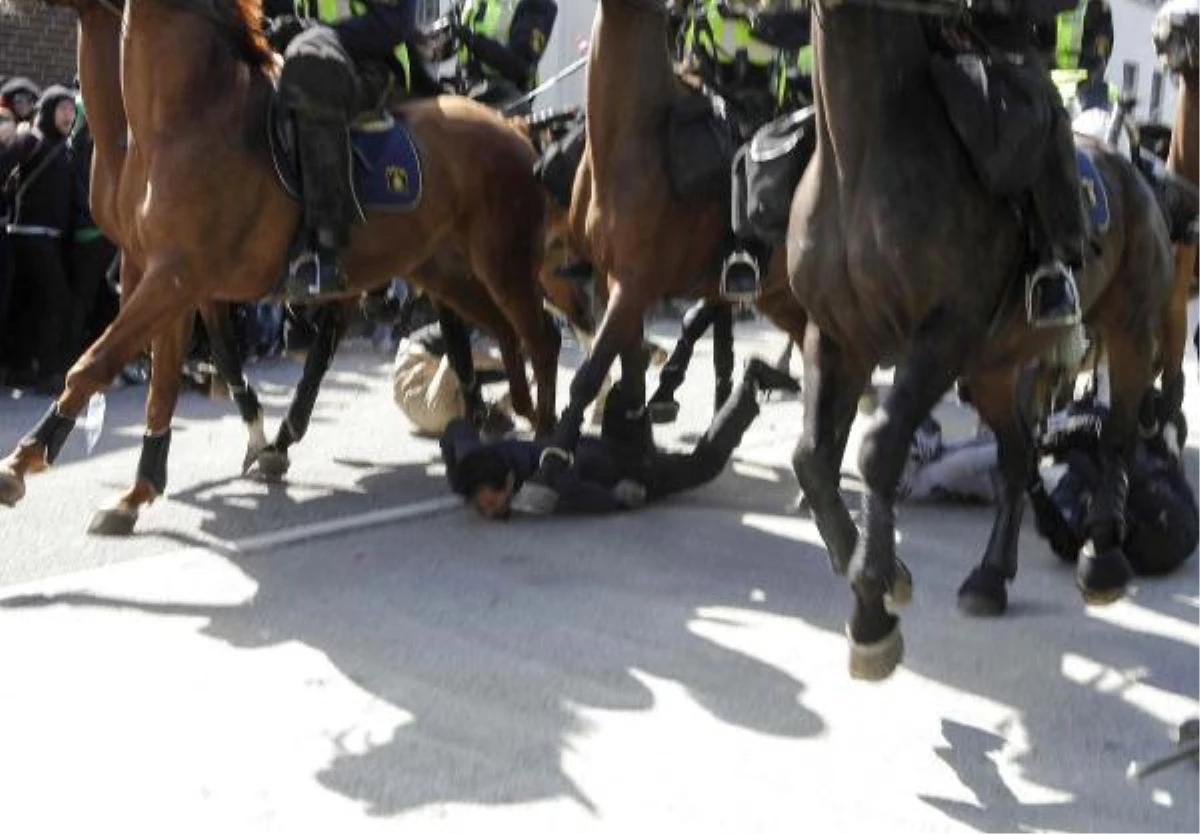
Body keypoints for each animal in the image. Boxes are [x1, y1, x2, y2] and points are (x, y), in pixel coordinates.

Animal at [0, 0, 559, 532]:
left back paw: (545, 447)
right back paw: (510, 413)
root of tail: (512, 126)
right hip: (447, 271)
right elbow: (163, 383)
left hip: (502, 261)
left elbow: (95, 363)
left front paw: (24, 462)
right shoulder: (162, 277)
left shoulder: (175, 276)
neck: (185, 116)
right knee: (500, 332)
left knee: (539, 336)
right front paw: (137, 492)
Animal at [511, 0, 811, 516]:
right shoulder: (610, 281)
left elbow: (591, 372)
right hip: (779, 297)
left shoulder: (635, 284)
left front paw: (548, 470)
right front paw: (636, 464)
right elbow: (629, 374)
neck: (632, 136)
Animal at [787, 0, 1171, 681]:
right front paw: (878, 571)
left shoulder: (941, 334)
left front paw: (873, 609)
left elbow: (877, 450)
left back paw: (1101, 557)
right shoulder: (835, 337)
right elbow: (812, 459)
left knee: (1118, 437)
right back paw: (990, 579)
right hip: (992, 370)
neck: (863, 157)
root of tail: (1132, 172)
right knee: (1017, 457)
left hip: (1130, 333)